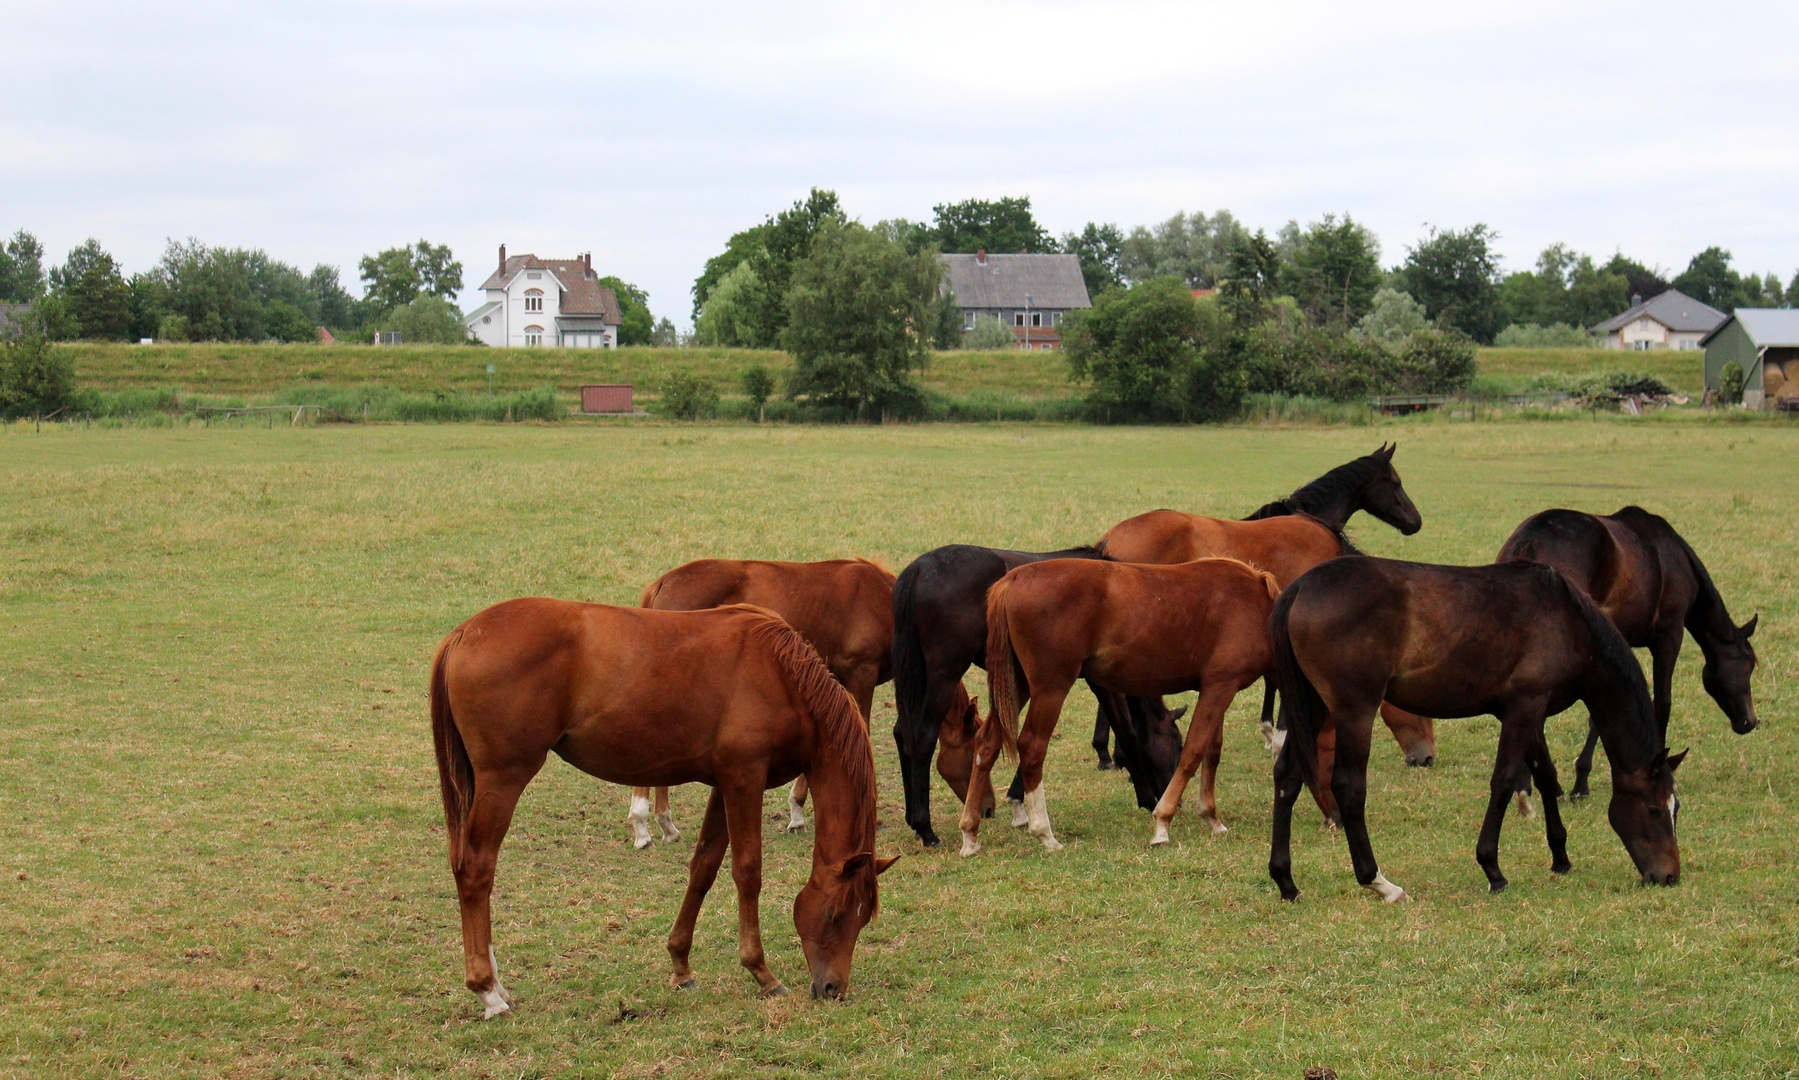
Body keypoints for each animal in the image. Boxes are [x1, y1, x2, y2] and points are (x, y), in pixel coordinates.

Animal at [428, 597, 892, 1015]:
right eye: (835, 913)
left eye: (862, 918)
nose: (833, 988)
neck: (782, 676)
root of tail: (465, 632)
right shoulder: (745, 780)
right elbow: (747, 872)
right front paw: (762, 973)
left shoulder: (723, 785)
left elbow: (704, 867)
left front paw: (681, 965)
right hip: (503, 780)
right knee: (476, 869)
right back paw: (488, 991)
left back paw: (497, 984)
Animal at [964, 561, 1288, 856]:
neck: (1254, 604)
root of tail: (1015, 578)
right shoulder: (1220, 687)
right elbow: (1193, 752)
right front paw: (1163, 823)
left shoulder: (1218, 687)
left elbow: (1212, 752)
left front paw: (1212, 818)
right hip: (1049, 688)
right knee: (1032, 748)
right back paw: (1044, 833)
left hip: (1017, 685)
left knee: (987, 744)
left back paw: (970, 834)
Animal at [1266, 554, 1683, 900]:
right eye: (1654, 810)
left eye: (1675, 808)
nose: (1669, 876)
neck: (1569, 620)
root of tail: (1300, 588)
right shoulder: (1523, 709)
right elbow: (1504, 782)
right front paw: (1493, 869)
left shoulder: (1531, 710)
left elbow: (1545, 776)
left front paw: (1560, 855)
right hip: (1353, 712)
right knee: (1348, 787)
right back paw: (1380, 882)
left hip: (1313, 707)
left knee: (1287, 777)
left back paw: (1286, 881)